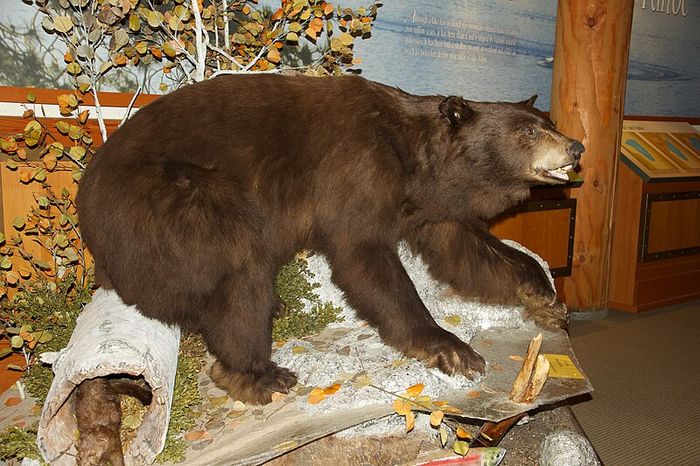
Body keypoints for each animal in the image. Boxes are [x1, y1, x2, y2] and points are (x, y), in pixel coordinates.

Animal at [76, 74, 583, 405]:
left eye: (548, 121)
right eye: (528, 130)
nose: (577, 147)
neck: (415, 154)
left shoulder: (429, 203)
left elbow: (465, 250)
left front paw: (546, 299)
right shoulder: (357, 168)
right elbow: (363, 254)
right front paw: (451, 347)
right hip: (169, 200)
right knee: (238, 259)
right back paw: (257, 372)